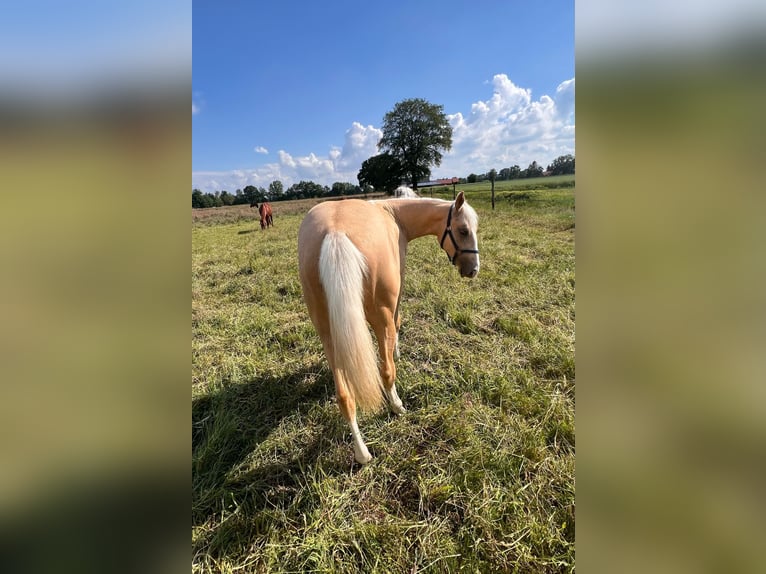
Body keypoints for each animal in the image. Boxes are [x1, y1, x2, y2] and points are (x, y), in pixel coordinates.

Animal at [298, 191, 480, 466]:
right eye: (463, 230)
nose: (473, 270)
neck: (394, 214)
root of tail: (335, 234)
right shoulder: (396, 294)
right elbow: (398, 322)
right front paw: (397, 352)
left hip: (326, 330)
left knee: (344, 396)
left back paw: (362, 453)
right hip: (379, 317)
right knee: (386, 371)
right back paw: (397, 406)